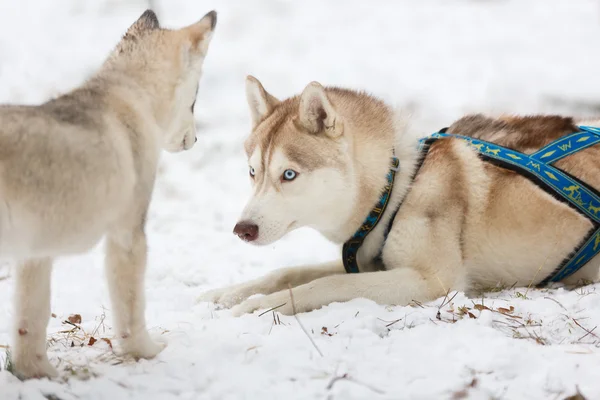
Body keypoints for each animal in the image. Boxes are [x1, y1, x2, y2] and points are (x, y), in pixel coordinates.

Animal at [5, 8, 217, 378]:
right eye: (194, 101)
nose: (194, 140)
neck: (128, 94)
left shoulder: (35, 254)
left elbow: (30, 319)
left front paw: (37, 374)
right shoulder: (128, 235)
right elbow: (131, 307)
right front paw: (145, 352)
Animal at [200, 76, 600, 316]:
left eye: (289, 174)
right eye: (253, 172)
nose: (242, 229)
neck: (395, 190)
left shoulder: (430, 280)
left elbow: (325, 283)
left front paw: (259, 306)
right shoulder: (368, 261)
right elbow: (289, 271)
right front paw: (229, 294)